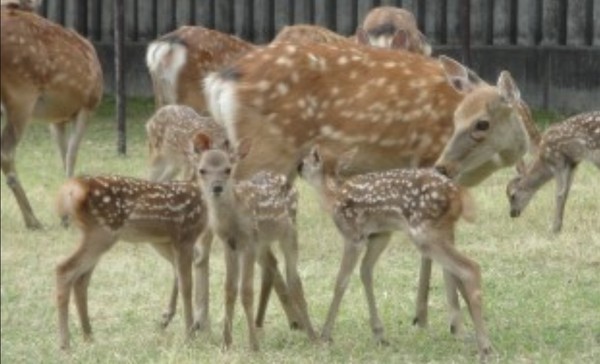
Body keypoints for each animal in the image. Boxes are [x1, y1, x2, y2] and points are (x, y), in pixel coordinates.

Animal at [0, 4, 103, 229]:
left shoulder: (56, 119)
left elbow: (63, 154)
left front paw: (65, 214)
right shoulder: (87, 106)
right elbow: (72, 155)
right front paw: (69, 217)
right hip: (22, 93)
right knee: (6, 152)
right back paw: (32, 220)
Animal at [197, 136, 318, 350]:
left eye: (228, 169)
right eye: (202, 170)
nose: (217, 187)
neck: (232, 220)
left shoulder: (248, 242)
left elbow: (246, 291)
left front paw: (253, 346)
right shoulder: (230, 245)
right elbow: (229, 290)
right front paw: (226, 343)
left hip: (289, 232)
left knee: (294, 280)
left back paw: (313, 336)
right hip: (263, 242)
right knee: (272, 266)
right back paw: (264, 325)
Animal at [298, 146, 492, 360]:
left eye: (304, 161)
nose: (297, 167)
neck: (333, 195)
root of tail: (458, 195)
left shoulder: (353, 235)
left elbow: (341, 281)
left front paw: (325, 335)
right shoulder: (380, 235)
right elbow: (366, 272)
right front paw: (379, 335)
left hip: (424, 233)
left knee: (470, 268)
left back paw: (485, 347)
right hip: (444, 231)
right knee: (458, 273)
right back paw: (474, 338)